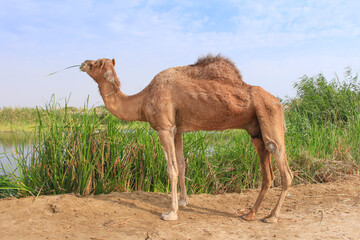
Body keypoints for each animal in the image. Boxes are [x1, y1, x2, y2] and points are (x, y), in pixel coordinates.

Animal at [80, 54, 294, 221]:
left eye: (96, 63)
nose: (82, 63)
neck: (142, 100)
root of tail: (278, 102)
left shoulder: (164, 128)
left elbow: (171, 169)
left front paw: (171, 212)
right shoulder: (177, 129)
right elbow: (182, 164)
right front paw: (183, 201)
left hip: (270, 117)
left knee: (283, 165)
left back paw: (272, 216)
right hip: (256, 131)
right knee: (268, 173)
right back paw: (250, 213)